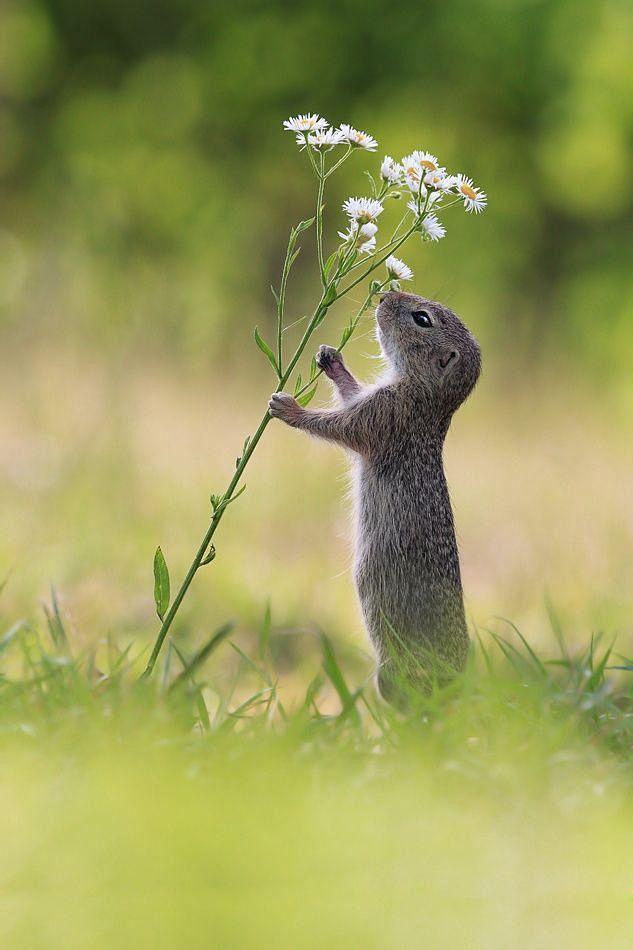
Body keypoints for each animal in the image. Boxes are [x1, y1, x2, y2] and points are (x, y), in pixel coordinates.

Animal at [270, 286, 482, 704]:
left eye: (422, 319)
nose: (385, 294)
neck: (427, 396)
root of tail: (458, 683)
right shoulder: (372, 401)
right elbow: (350, 393)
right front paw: (331, 360)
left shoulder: (383, 414)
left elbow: (339, 426)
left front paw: (290, 408)